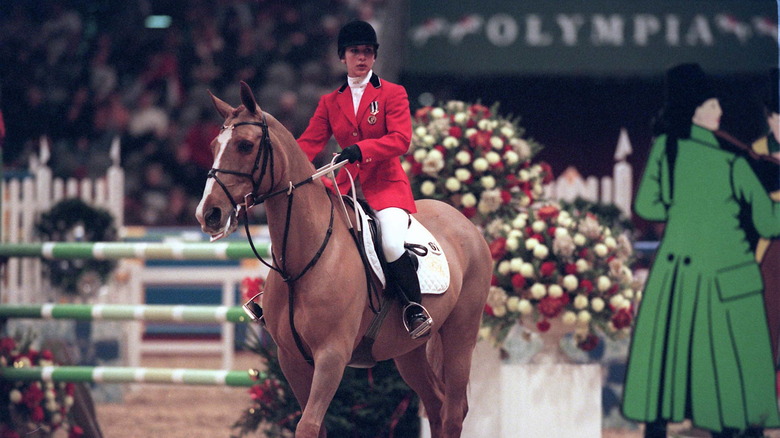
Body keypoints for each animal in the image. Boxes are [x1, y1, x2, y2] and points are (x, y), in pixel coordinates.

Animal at [195, 83, 488, 438]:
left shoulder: (331, 355)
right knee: (435, 404)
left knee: (453, 411)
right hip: (409, 350)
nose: (208, 214)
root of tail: (464, 222)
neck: (302, 263)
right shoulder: (292, 358)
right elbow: (314, 426)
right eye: (213, 146)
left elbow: (308, 426)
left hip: (461, 334)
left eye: (245, 145)